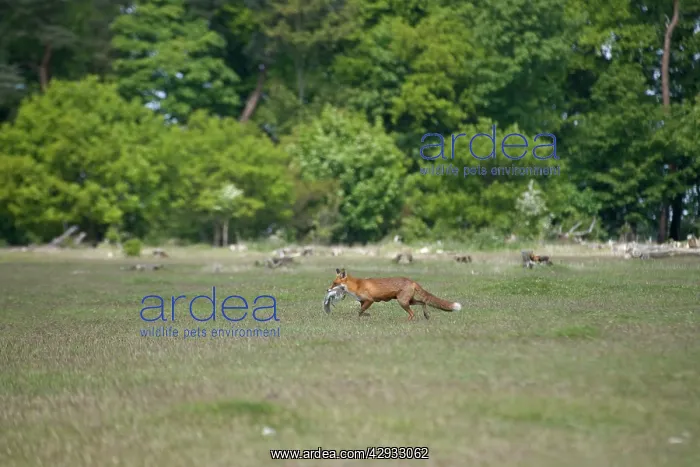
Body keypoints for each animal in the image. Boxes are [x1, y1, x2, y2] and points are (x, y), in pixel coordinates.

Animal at [327, 268, 462, 321]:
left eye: (334, 283)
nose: (327, 290)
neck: (356, 285)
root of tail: (411, 280)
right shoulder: (362, 302)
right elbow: (361, 311)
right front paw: (364, 317)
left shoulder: (370, 300)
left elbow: (359, 311)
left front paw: (359, 318)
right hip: (409, 301)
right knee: (423, 302)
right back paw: (426, 315)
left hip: (402, 302)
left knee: (412, 314)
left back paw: (406, 321)